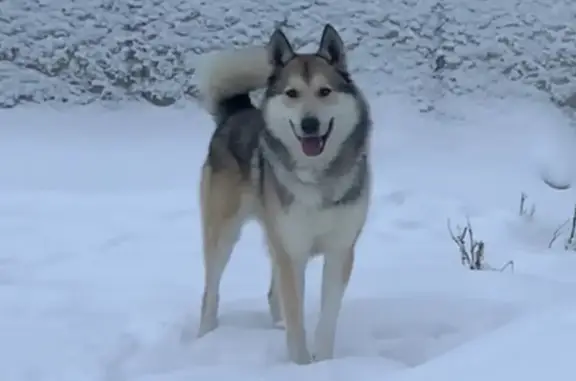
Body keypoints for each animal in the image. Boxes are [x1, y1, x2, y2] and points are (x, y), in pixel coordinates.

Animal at [195, 24, 374, 366]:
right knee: (210, 289)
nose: (309, 124)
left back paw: (275, 326)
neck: (318, 178)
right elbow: (297, 316)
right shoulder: (293, 250)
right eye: (292, 94)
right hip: (224, 234)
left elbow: (327, 317)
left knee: (271, 292)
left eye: (324, 91)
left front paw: (325, 363)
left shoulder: (340, 249)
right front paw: (301, 365)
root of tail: (237, 111)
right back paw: (205, 336)